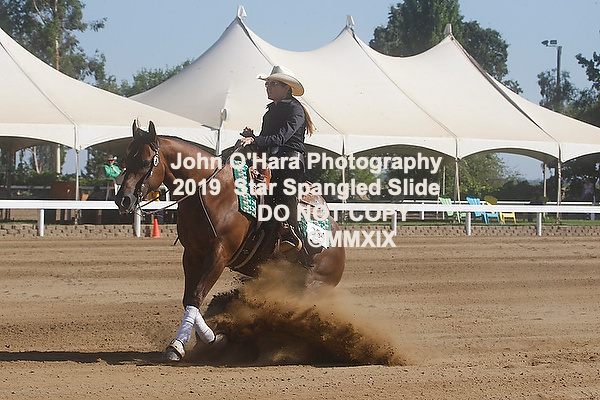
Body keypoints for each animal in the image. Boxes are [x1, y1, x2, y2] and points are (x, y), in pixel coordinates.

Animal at [115, 121, 345, 361]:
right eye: (126, 159)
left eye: (145, 161)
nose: (123, 199)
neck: (211, 192)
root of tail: (338, 240)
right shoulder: (192, 254)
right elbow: (188, 299)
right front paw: (209, 339)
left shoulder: (219, 254)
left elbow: (196, 296)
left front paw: (184, 344)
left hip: (311, 286)